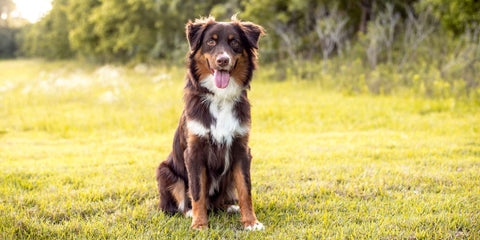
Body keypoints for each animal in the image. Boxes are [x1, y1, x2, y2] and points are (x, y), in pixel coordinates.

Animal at [155, 16, 264, 231]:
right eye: (211, 42)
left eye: (234, 42)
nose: (223, 60)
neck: (220, 97)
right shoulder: (194, 153)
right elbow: (197, 192)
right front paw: (199, 224)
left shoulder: (241, 150)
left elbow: (245, 190)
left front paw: (251, 222)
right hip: (165, 171)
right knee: (175, 205)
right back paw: (189, 213)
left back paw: (230, 207)